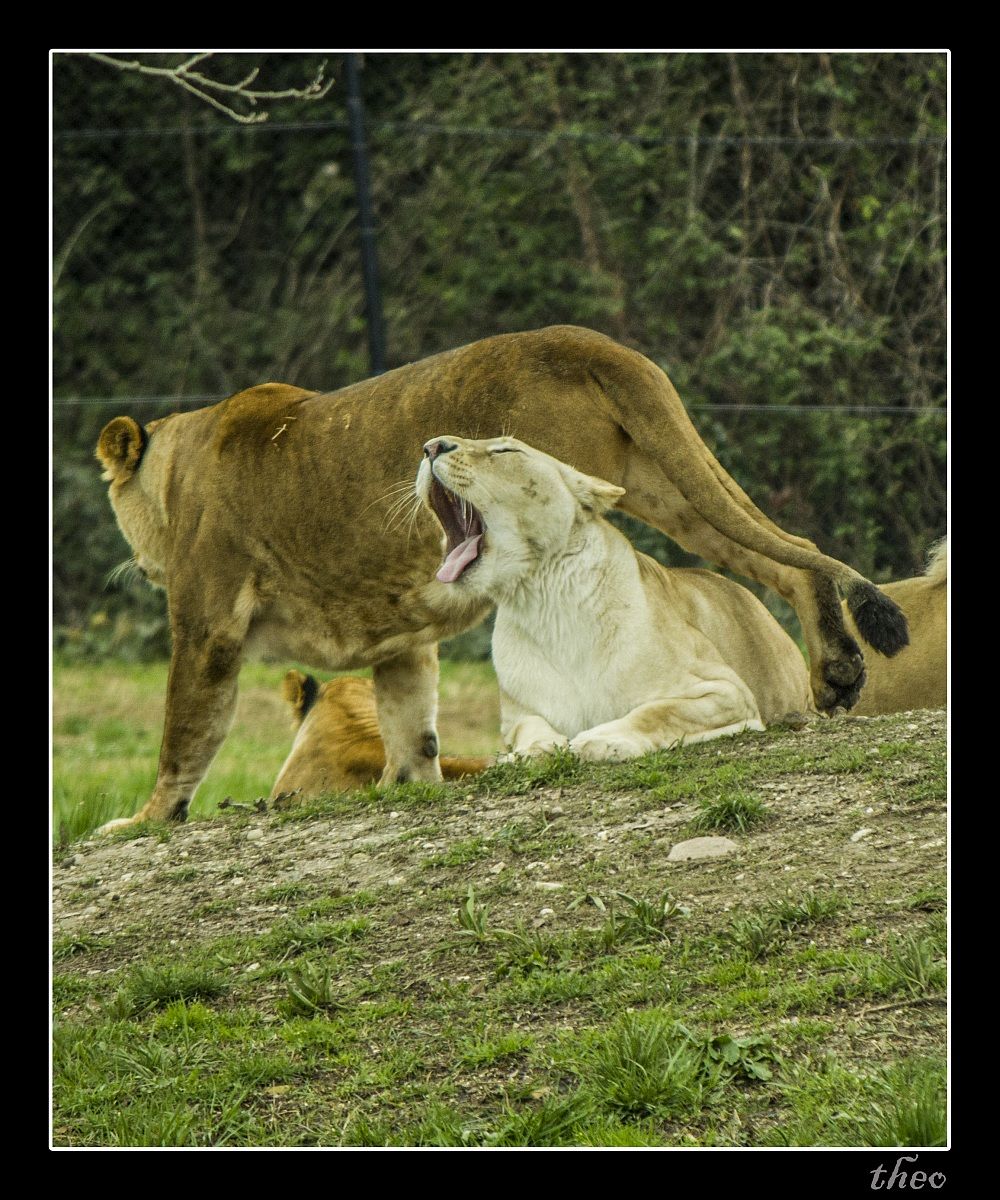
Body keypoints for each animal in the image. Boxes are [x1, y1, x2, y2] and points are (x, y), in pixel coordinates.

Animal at [416, 434, 813, 759]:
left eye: (505, 450)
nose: (431, 446)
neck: (544, 601)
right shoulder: (518, 715)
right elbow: (530, 727)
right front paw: (536, 749)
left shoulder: (726, 691)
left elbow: (657, 711)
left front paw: (601, 739)